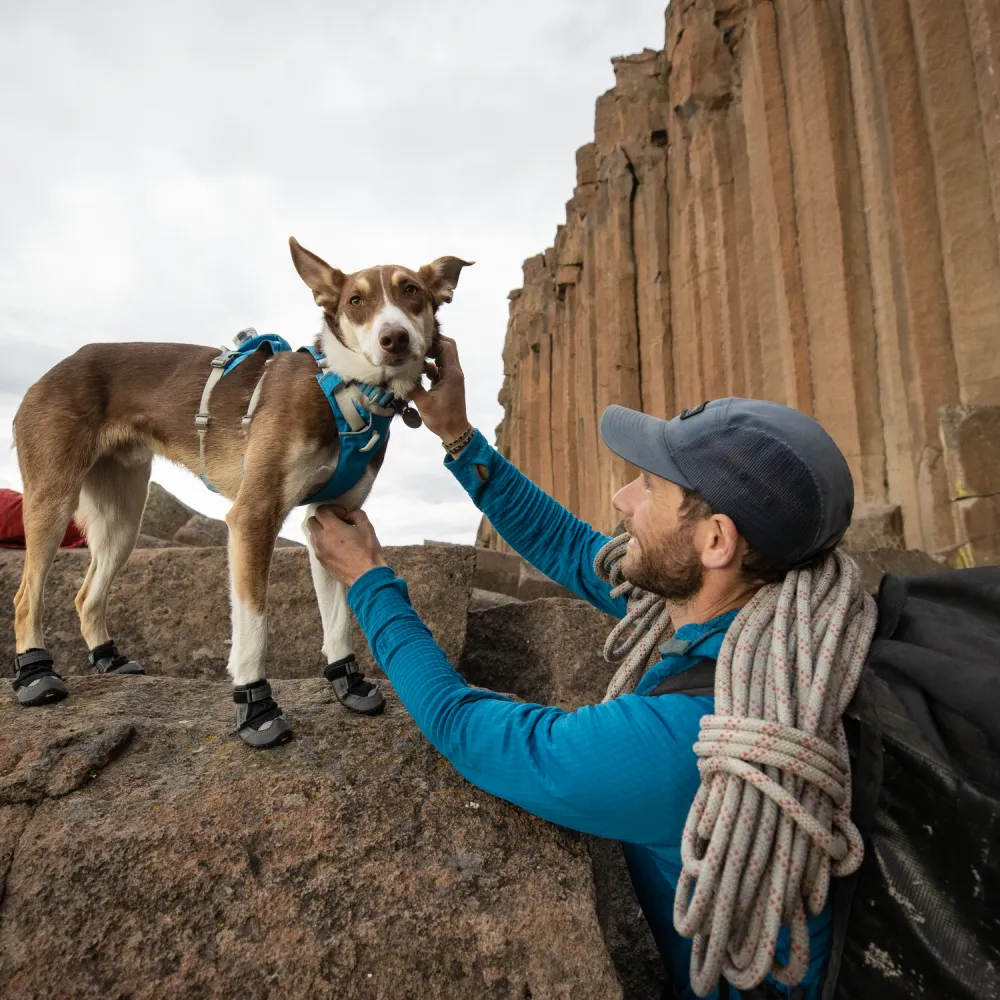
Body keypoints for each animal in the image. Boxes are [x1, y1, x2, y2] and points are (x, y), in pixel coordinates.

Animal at [11, 238, 472, 748]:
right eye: (356, 300)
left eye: (412, 291)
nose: (395, 338)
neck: (345, 390)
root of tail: (51, 370)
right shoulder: (254, 516)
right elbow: (254, 628)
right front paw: (256, 707)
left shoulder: (333, 517)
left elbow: (338, 618)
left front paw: (347, 683)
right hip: (53, 501)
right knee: (26, 597)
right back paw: (35, 675)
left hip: (122, 521)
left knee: (85, 595)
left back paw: (108, 659)